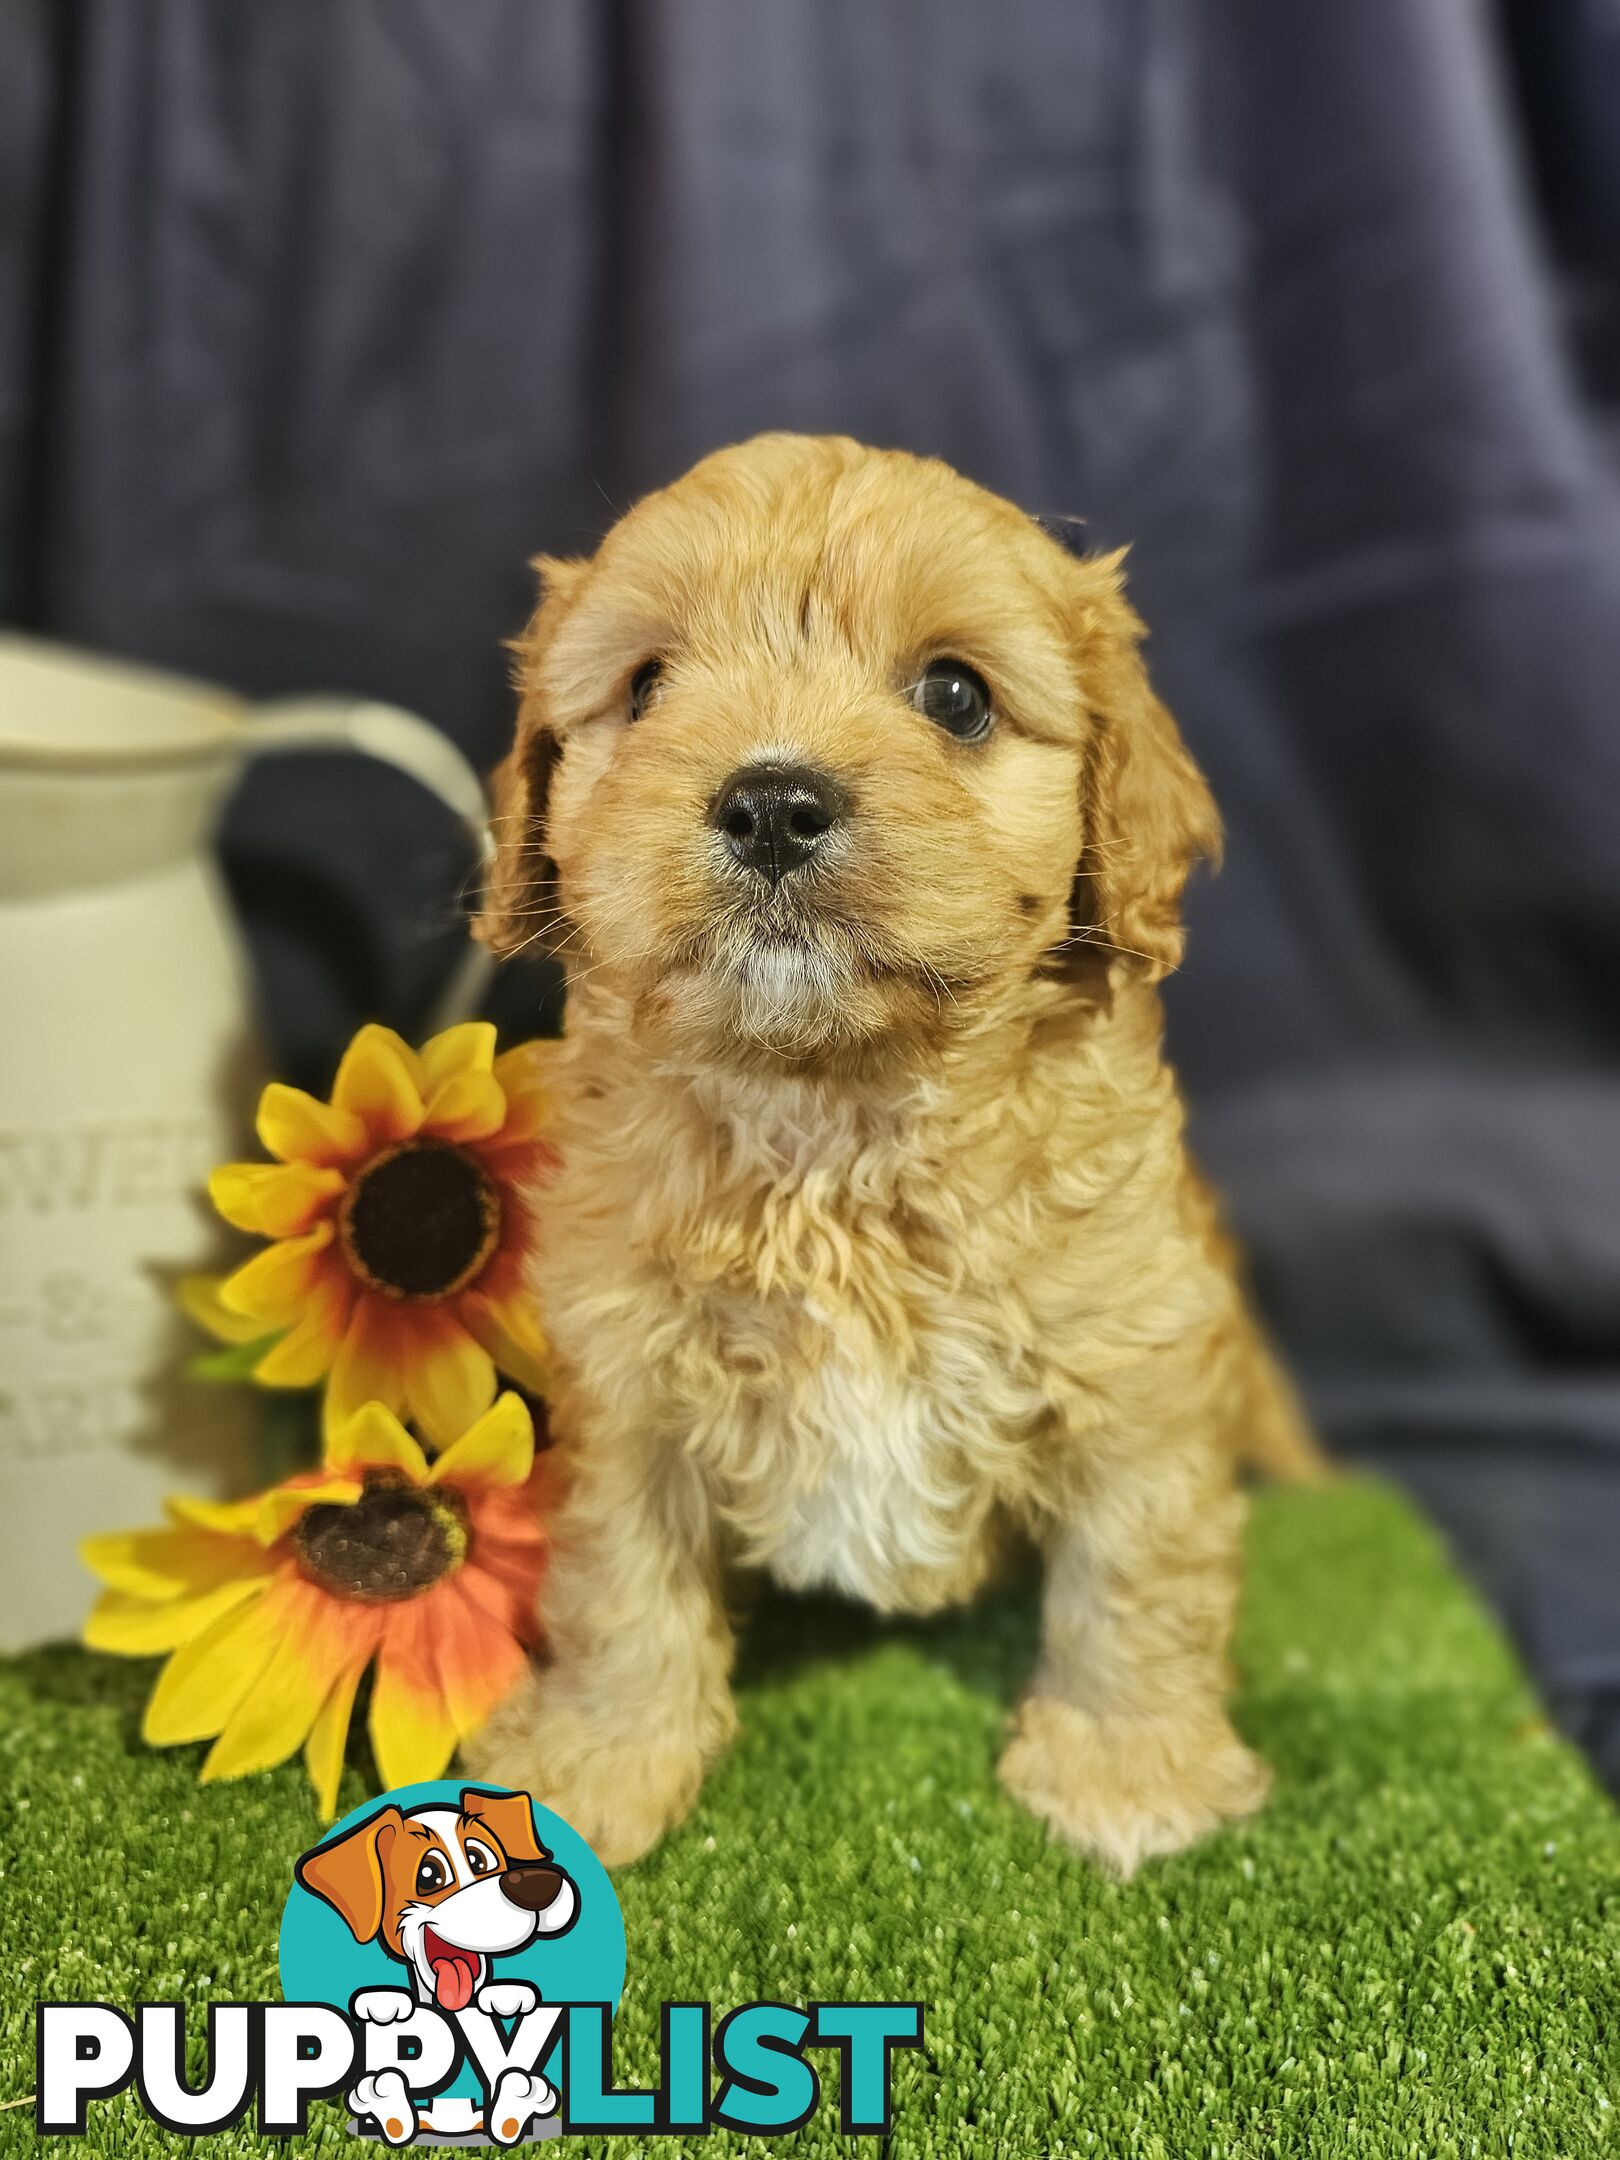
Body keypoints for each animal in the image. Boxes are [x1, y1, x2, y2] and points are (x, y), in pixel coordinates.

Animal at [466, 425, 1321, 1874]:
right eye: (645, 687)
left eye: (957, 697)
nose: (770, 801)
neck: (834, 1119)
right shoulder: (625, 1384)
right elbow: (620, 1583)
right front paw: (599, 1761)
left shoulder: (1140, 1365)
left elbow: (1136, 1572)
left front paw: (1127, 1772)